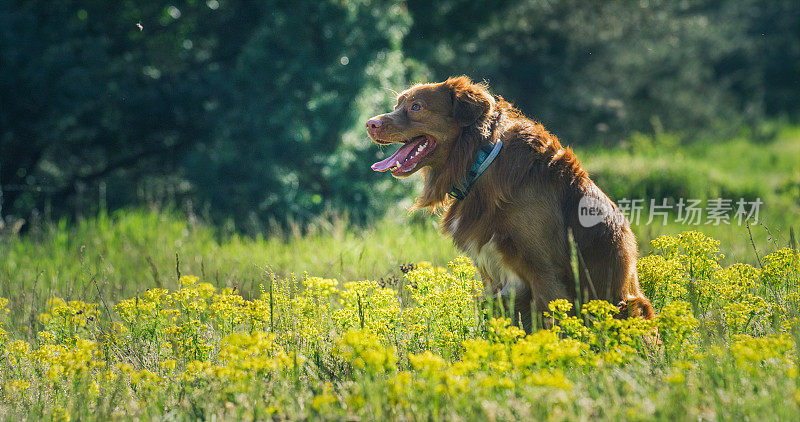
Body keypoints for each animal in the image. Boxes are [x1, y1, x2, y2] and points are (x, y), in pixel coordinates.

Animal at [366, 76, 652, 332]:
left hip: (631, 305)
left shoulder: (546, 272)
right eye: (398, 105)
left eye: (416, 107)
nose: (370, 124)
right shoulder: (493, 280)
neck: (479, 160)